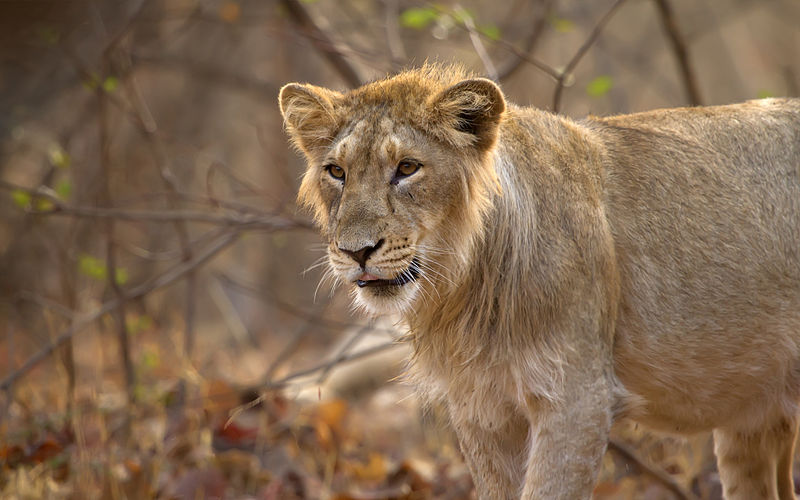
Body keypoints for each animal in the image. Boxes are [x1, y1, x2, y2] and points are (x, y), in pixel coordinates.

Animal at [280, 64, 800, 498]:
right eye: (337, 172)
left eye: (407, 167)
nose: (356, 251)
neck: (465, 292)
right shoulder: (481, 411)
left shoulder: (577, 397)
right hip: (752, 421)